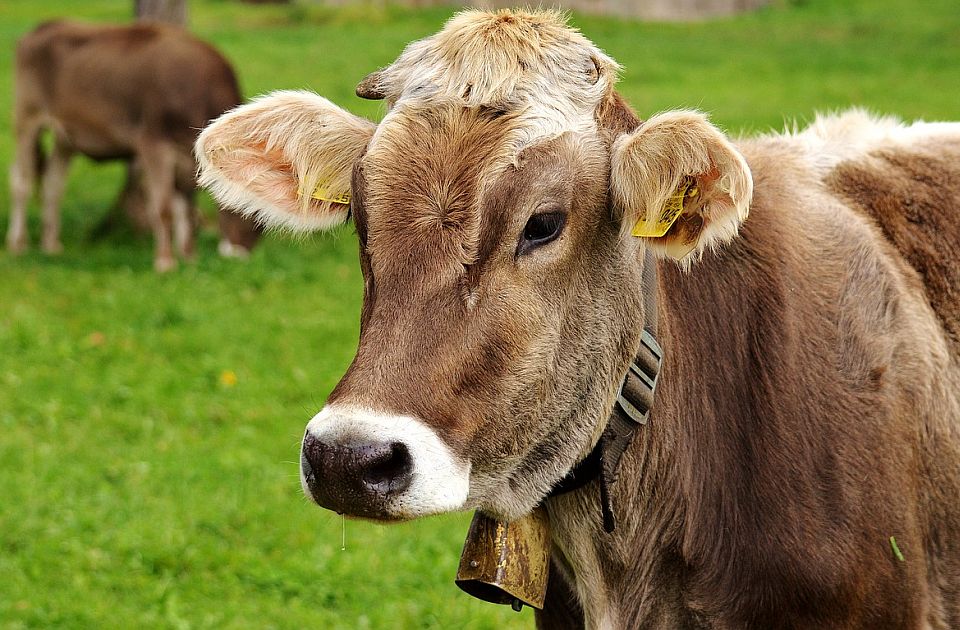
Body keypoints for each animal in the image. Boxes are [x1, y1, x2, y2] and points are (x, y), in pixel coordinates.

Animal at [8, 19, 262, 272]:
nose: (241, 254)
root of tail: (45, 25)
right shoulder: (153, 144)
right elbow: (163, 207)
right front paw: (165, 261)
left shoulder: (186, 158)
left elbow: (186, 209)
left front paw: (189, 258)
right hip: (27, 118)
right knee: (22, 181)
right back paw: (18, 244)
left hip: (65, 137)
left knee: (53, 184)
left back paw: (51, 245)